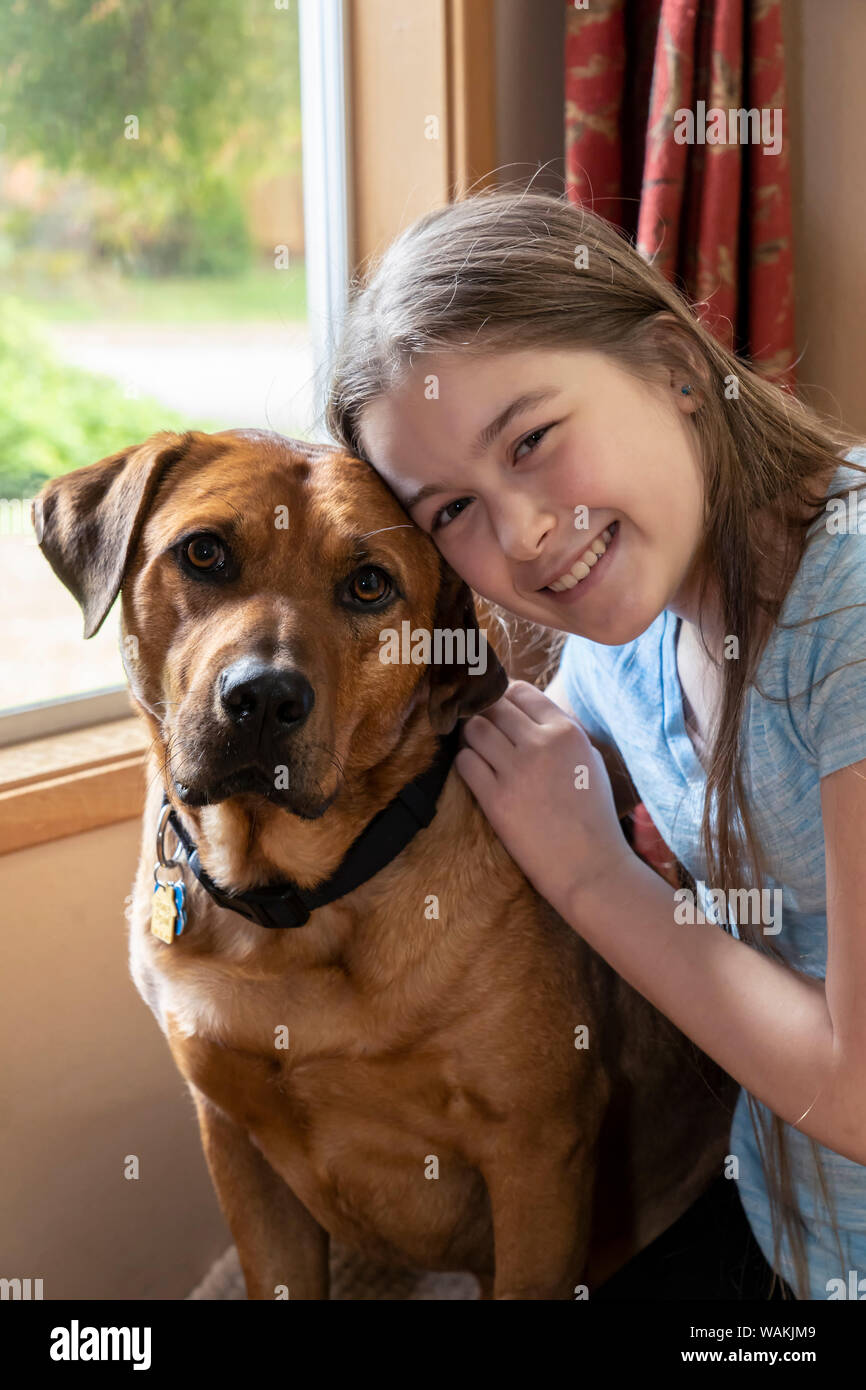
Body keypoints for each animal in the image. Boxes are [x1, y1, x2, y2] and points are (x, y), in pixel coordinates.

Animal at [35, 428, 739, 1295]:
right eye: (203, 552)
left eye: (369, 586)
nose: (264, 699)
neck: (292, 907)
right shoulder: (234, 1145)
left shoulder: (539, 1154)